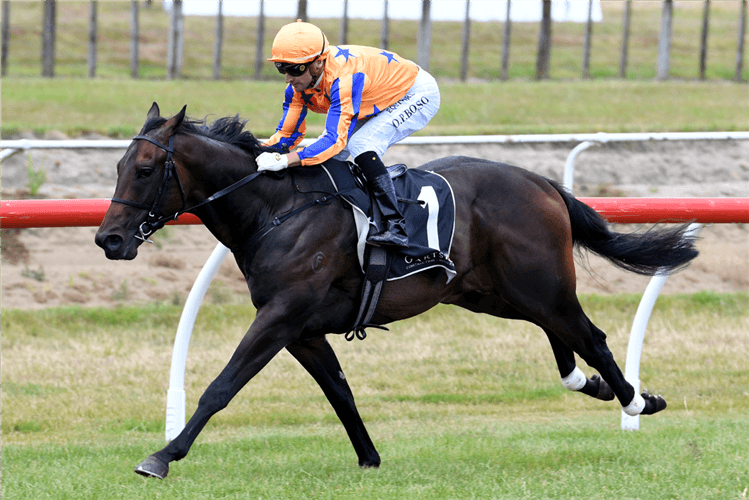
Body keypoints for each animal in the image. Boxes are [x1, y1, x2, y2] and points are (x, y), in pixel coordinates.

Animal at [95, 102, 696, 480]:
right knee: (563, 341)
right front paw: (369, 458)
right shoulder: (300, 328)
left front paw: (163, 456)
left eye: (145, 168)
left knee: (590, 336)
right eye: (119, 164)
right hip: (496, 294)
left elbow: (221, 386)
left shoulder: (282, 314)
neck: (276, 209)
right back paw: (595, 387)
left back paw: (638, 400)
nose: (109, 239)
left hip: (540, 285)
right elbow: (339, 391)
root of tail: (543, 182)